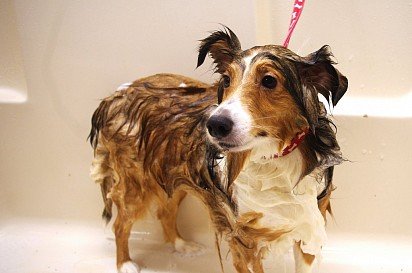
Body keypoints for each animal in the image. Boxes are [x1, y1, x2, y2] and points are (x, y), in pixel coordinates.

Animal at [89, 27, 348, 272]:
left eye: (269, 81)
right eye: (226, 79)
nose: (214, 125)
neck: (274, 158)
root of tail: (114, 96)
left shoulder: (309, 225)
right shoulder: (243, 238)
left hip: (173, 175)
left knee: (165, 212)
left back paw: (182, 246)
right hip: (136, 184)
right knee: (120, 224)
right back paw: (125, 264)